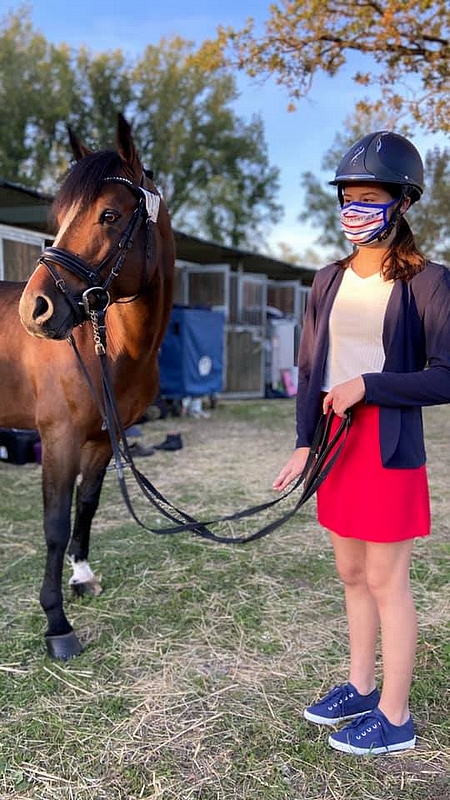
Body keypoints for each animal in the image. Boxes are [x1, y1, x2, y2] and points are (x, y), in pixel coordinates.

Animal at [1, 115, 174, 660]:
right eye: (59, 217)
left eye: (110, 215)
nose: (34, 310)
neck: (109, 348)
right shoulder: (58, 438)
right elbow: (55, 525)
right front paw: (57, 624)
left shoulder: (101, 439)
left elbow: (88, 507)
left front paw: (82, 577)